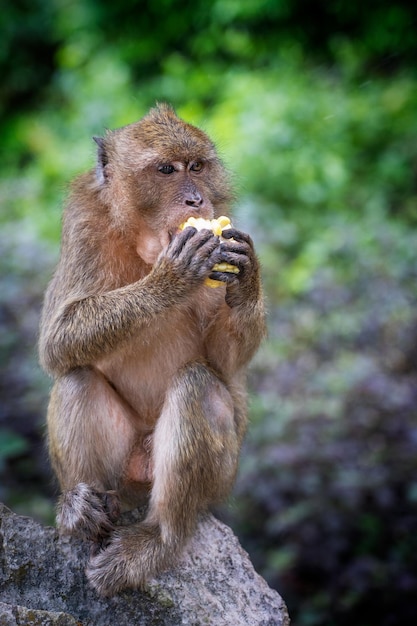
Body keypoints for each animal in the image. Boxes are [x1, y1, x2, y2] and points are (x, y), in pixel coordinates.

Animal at [39, 103, 266, 596]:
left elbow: (226, 364)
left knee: (198, 384)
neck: (145, 245)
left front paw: (248, 279)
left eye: (196, 167)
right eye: (166, 170)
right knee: (75, 377)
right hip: (123, 475)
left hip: (222, 474)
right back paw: (81, 510)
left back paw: (160, 538)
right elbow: (57, 340)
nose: (196, 201)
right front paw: (171, 278)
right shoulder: (82, 222)